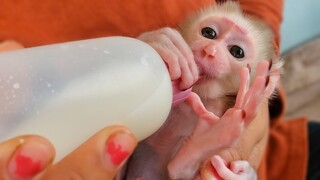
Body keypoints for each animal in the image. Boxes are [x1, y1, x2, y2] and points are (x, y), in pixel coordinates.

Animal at [124, 1, 282, 180]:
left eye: (237, 51)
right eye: (209, 33)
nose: (209, 50)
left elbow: (182, 173)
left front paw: (209, 139)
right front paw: (160, 41)